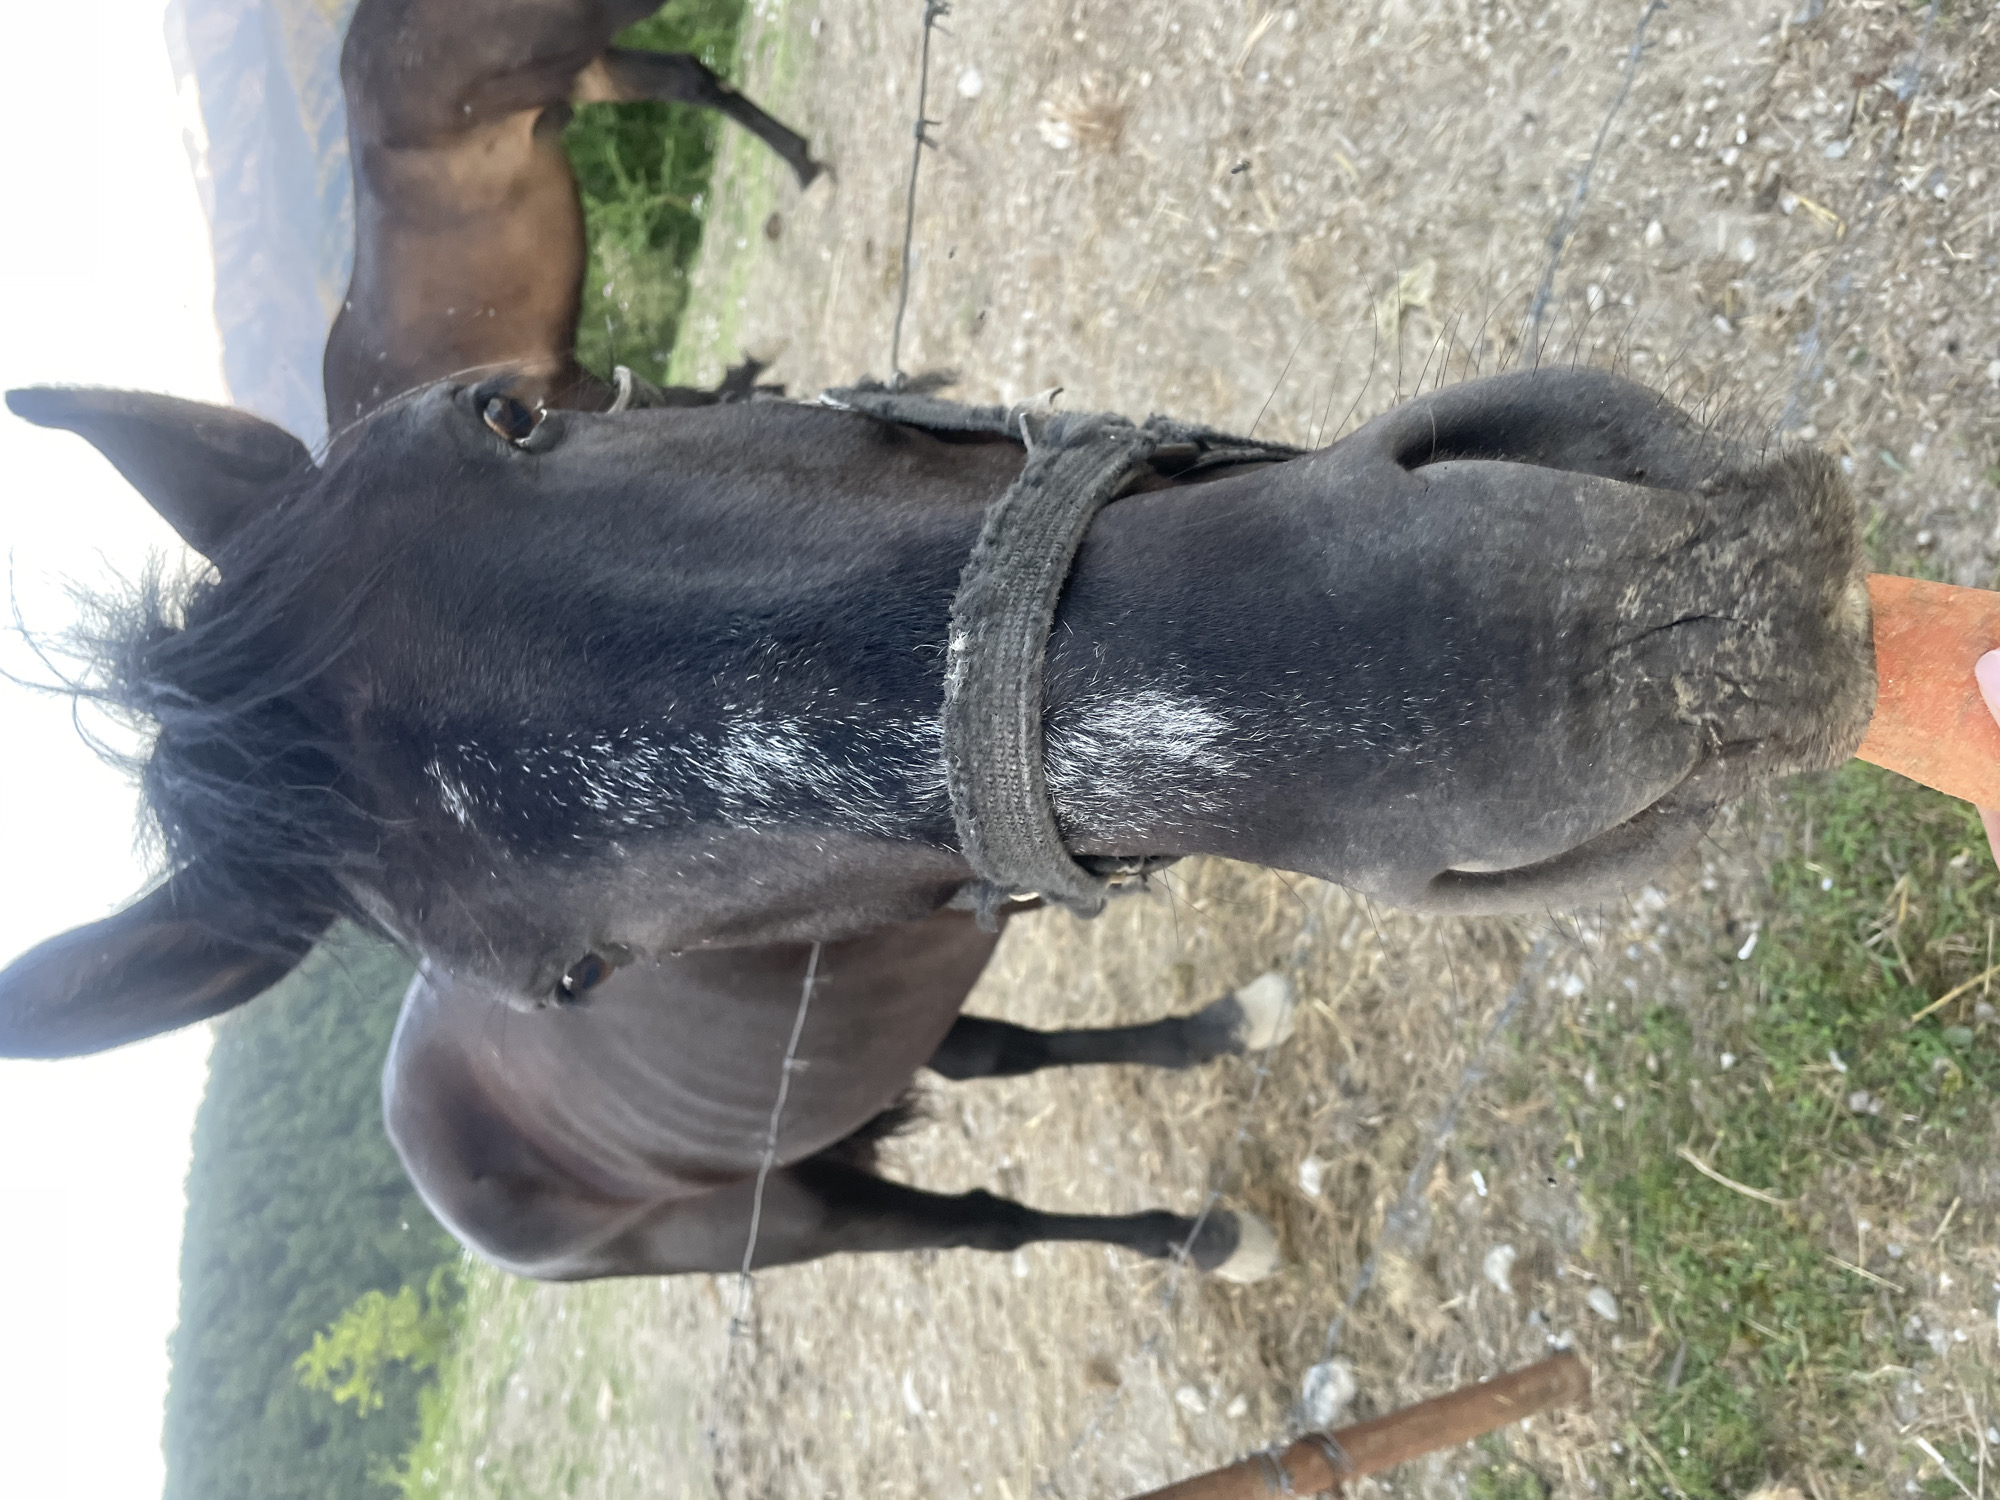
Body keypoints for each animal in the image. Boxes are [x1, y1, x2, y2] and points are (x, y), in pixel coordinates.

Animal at [0, 0, 1876, 1285]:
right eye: (572, 979)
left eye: (509, 414)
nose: (1582, 650)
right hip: (784, 1226)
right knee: (977, 1217)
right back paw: (1195, 1238)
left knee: (998, 1050)